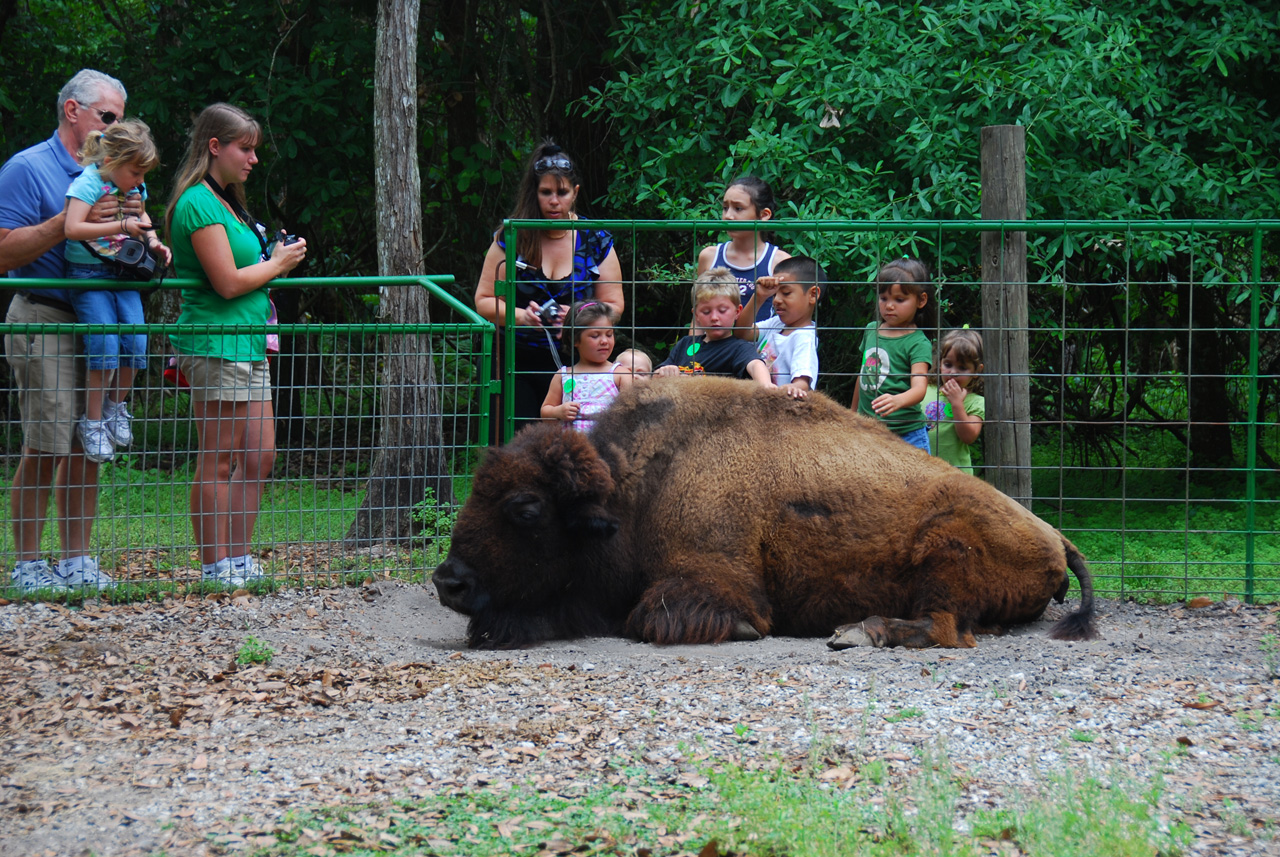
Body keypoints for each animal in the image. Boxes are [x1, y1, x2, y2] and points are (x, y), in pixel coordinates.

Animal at [435, 378, 1095, 652]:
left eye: (525, 508)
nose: (448, 582)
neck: (634, 489)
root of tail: (1055, 537)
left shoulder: (711, 576)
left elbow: (657, 618)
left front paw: (745, 630)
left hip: (947, 548)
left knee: (946, 627)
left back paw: (862, 631)